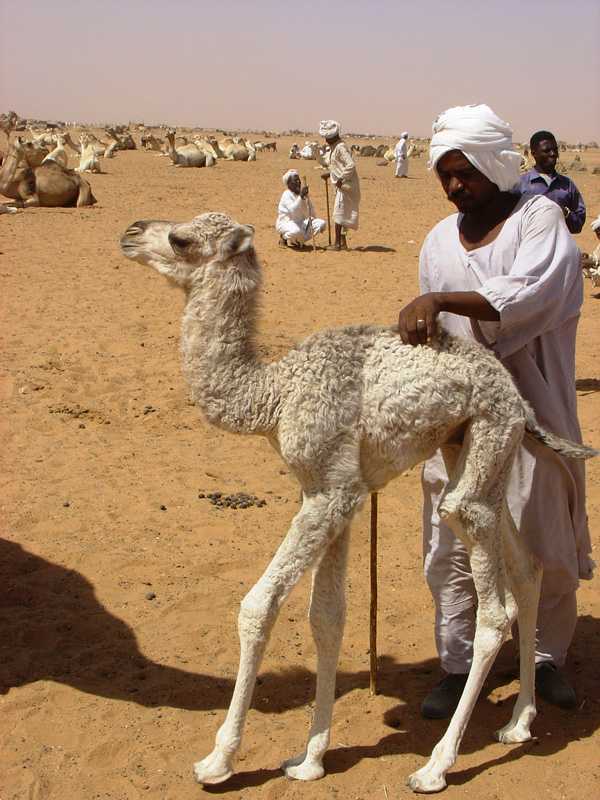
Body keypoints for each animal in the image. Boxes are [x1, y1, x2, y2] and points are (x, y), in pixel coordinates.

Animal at [120, 211, 596, 794]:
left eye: (182, 240)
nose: (131, 231)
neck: (275, 392)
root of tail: (516, 397)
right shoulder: (334, 493)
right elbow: (326, 616)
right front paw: (309, 759)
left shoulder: (329, 494)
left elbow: (258, 605)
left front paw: (218, 760)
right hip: (476, 449)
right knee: (525, 567)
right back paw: (518, 722)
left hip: (487, 437)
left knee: (491, 604)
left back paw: (436, 765)